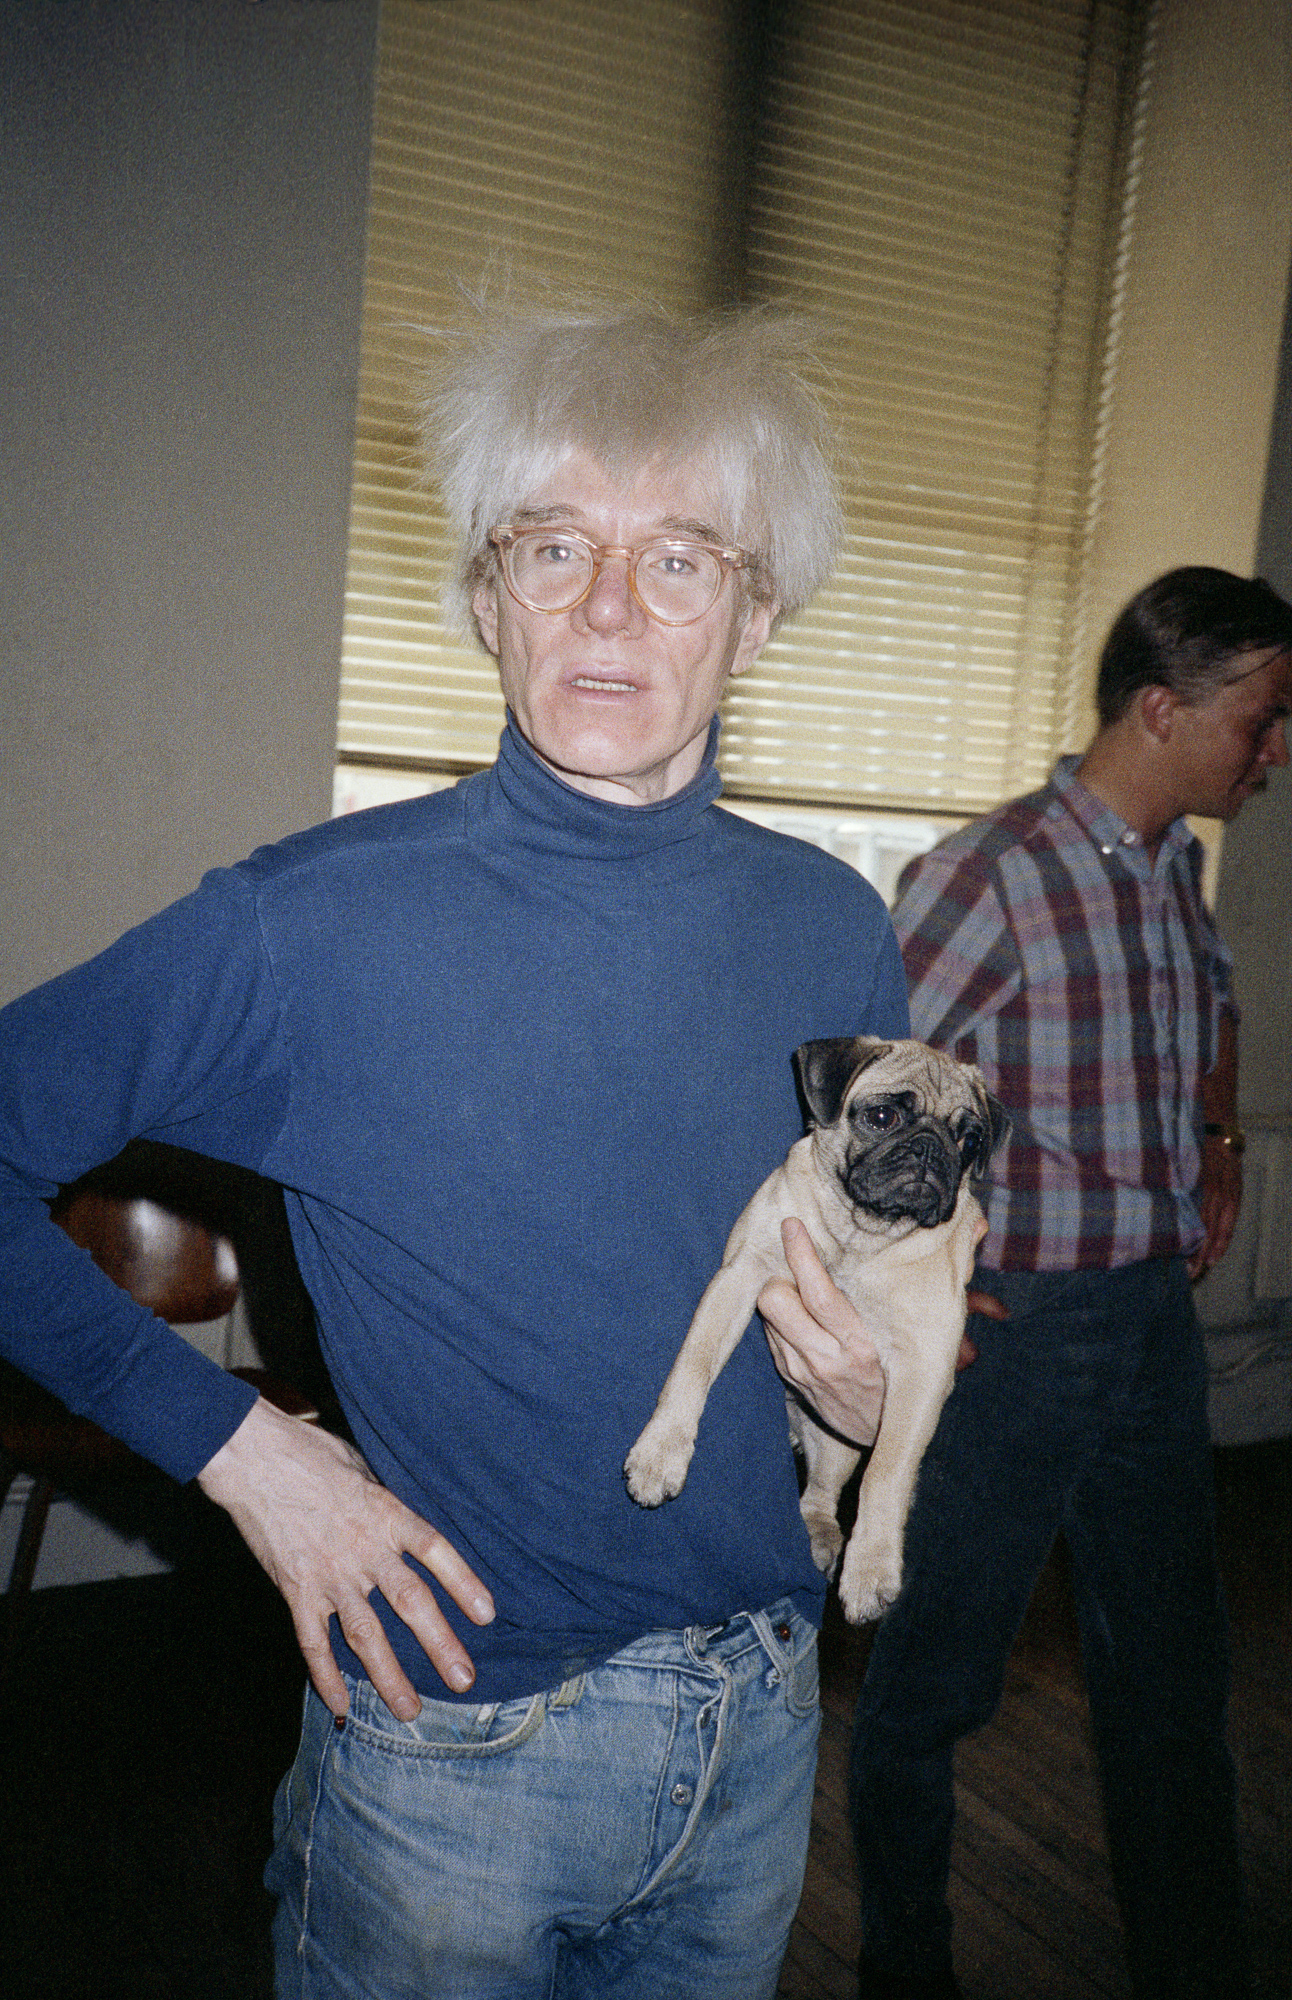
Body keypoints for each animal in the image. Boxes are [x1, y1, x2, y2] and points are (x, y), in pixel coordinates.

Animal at [624, 1040, 1008, 1616]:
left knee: (823, 1494)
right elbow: (691, 1369)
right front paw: (660, 1453)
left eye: (969, 1142)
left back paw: (824, 1535)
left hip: (835, 1434)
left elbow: (886, 1473)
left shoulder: (922, 1367)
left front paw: (871, 1567)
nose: (930, 1149)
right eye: (882, 1117)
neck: (860, 1234)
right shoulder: (740, 1275)